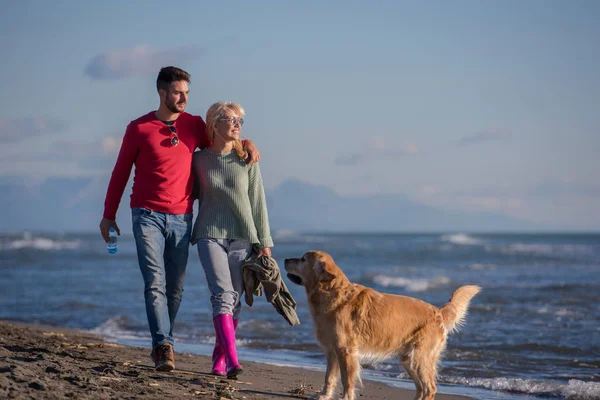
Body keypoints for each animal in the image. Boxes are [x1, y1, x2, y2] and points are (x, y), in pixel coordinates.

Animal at [284, 250, 478, 400]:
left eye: (303, 259)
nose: (285, 259)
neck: (332, 292)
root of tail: (438, 311)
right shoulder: (332, 351)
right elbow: (329, 378)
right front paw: (324, 395)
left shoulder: (345, 350)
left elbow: (347, 380)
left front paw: (346, 397)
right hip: (408, 359)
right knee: (421, 388)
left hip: (419, 357)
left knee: (430, 388)